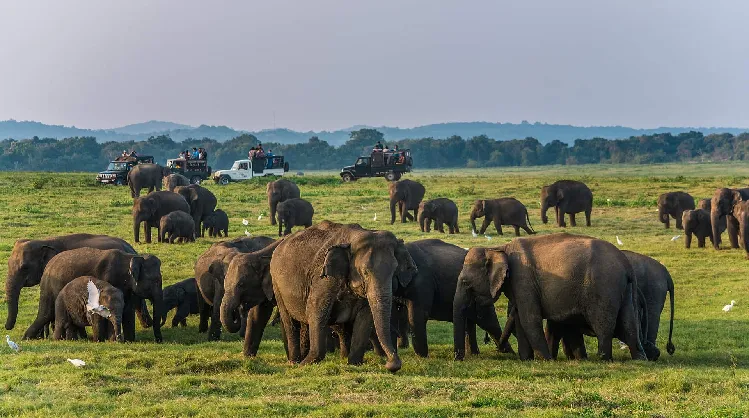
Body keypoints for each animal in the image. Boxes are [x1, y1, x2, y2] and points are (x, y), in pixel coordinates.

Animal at [23, 248, 163, 343]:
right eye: (156, 280)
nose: (159, 341)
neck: (131, 257)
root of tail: (47, 266)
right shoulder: (109, 279)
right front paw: (111, 339)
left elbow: (128, 310)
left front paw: (129, 341)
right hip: (49, 288)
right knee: (46, 314)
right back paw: (27, 338)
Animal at [270, 220, 417, 372]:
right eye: (365, 272)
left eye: (394, 272)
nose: (390, 364)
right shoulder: (323, 280)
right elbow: (316, 310)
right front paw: (306, 364)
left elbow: (365, 317)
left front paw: (354, 364)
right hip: (276, 283)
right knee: (290, 321)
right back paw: (294, 362)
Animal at [453, 233, 645, 361]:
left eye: (465, 282)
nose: (458, 359)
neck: (499, 247)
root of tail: (626, 264)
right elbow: (521, 319)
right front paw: (527, 360)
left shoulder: (523, 279)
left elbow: (529, 319)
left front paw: (545, 360)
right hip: (625, 291)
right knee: (629, 324)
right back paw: (639, 358)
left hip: (604, 287)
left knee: (603, 324)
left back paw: (602, 359)